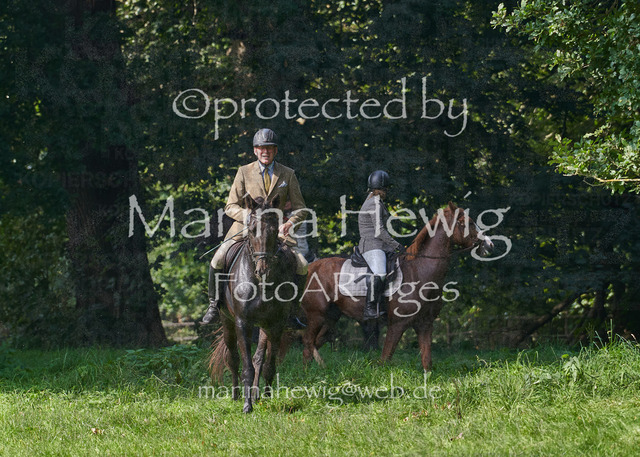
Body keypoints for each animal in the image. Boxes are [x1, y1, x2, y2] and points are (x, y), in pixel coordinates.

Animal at [208, 195, 298, 413]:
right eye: (251, 229)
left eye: (274, 230)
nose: (262, 270)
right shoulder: (243, 323)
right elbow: (246, 366)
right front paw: (247, 405)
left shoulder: (276, 324)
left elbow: (268, 364)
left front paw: (266, 397)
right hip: (227, 321)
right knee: (233, 358)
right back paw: (236, 395)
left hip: (265, 326)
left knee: (259, 358)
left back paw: (258, 395)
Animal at [300, 202, 494, 371]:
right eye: (467, 223)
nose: (489, 245)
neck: (420, 271)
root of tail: (312, 267)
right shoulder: (397, 325)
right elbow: (385, 359)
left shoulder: (425, 324)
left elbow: (427, 362)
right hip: (316, 315)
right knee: (307, 342)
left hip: (330, 318)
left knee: (314, 343)